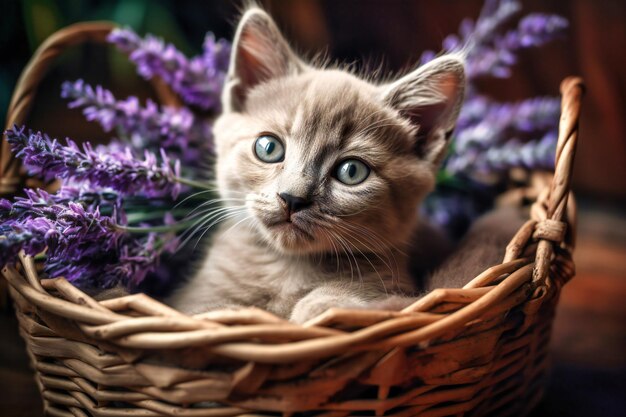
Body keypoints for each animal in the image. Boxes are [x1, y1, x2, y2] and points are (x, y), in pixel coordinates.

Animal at [168, 8, 510, 324]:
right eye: (268, 148)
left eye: (351, 171)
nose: (292, 198)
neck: (288, 269)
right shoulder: (193, 302)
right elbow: (216, 312)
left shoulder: (394, 283)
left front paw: (320, 308)